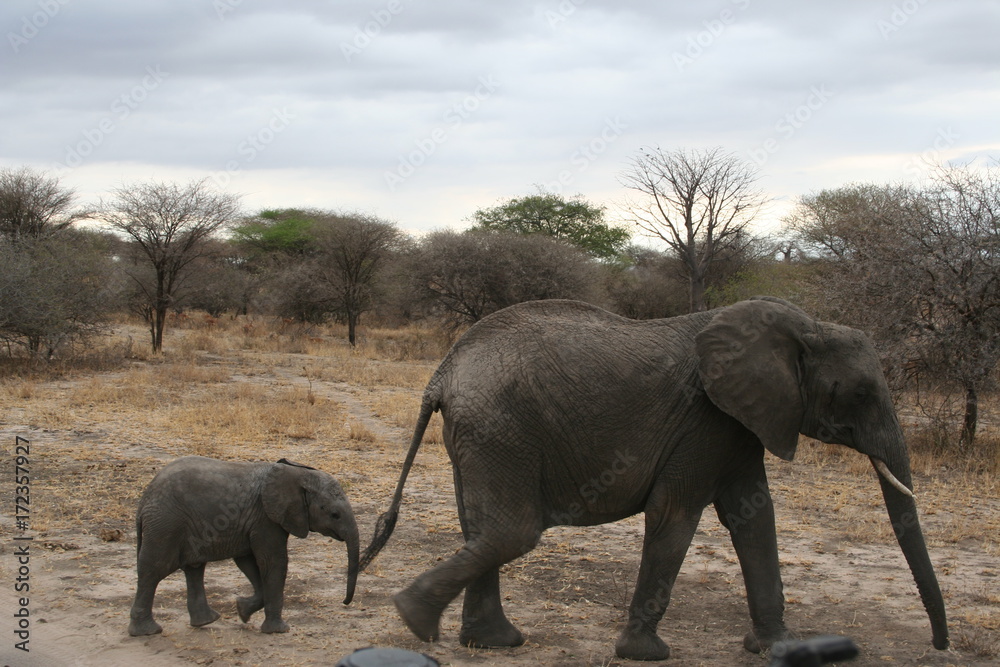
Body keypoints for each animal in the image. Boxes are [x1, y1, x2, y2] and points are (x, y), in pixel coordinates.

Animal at [128, 456, 359, 637]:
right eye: (334, 515)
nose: (345, 602)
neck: (298, 473)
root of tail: (144, 500)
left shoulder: (251, 523)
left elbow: (248, 562)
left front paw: (242, 611)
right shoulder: (265, 518)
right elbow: (273, 562)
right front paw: (279, 630)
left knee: (194, 569)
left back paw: (206, 621)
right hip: (166, 525)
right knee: (153, 569)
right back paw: (147, 631)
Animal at [359, 297, 949, 661]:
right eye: (861, 394)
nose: (941, 647)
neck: (804, 328)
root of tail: (442, 373)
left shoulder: (740, 421)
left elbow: (754, 517)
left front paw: (780, 648)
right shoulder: (705, 419)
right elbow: (675, 514)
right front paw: (643, 655)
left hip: (478, 435)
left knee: (481, 530)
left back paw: (493, 642)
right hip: (499, 428)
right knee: (512, 532)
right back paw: (414, 617)